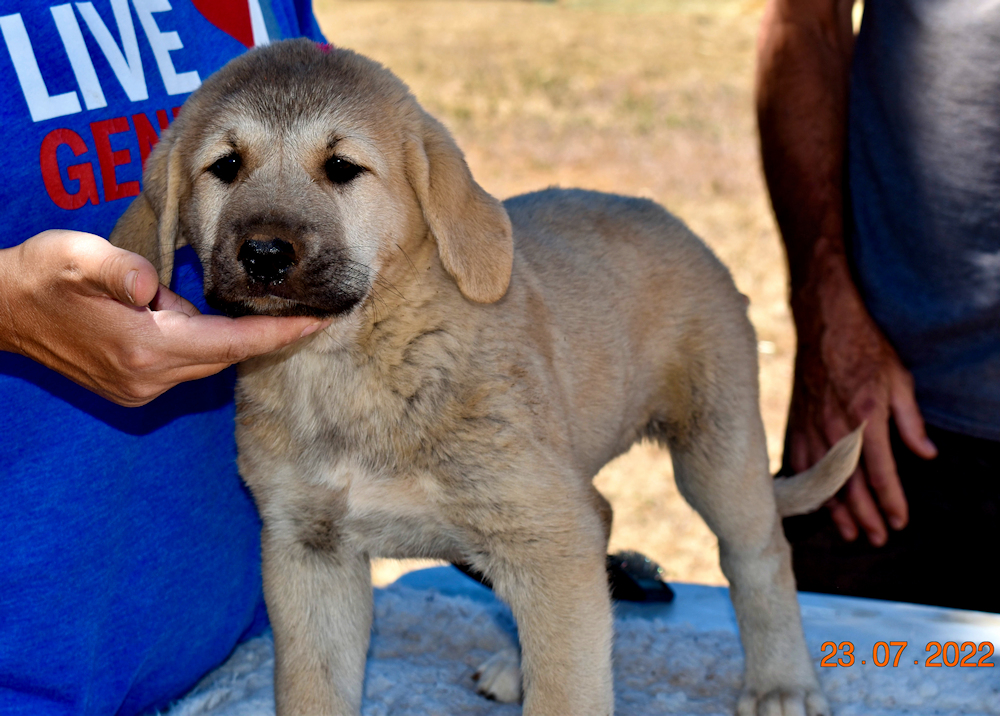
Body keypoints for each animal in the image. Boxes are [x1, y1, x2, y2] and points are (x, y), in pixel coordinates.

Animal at [109, 40, 860, 716]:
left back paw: (782, 684)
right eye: (226, 167)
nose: (264, 255)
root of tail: (672, 219)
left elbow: (568, 690)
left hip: (716, 447)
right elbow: (312, 690)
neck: (354, 366)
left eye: (342, 168)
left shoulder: (546, 536)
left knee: (759, 555)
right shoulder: (308, 551)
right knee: (604, 522)